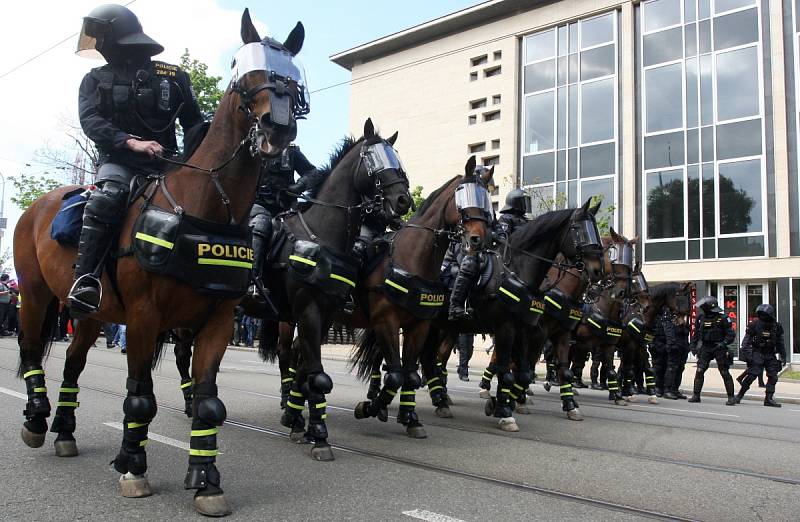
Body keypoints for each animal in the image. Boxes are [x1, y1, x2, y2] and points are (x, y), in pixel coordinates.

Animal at [16, 10, 310, 512]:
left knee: (72, 362)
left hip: (91, 315)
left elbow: (209, 402)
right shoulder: (143, 317)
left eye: (292, 78)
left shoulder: (217, 321)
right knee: (33, 350)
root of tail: (39, 205)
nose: (278, 130)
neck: (205, 206)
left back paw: (65, 430)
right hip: (34, 296)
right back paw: (37, 420)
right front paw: (134, 466)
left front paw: (207, 480)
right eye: (246, 72)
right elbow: (141, 399)